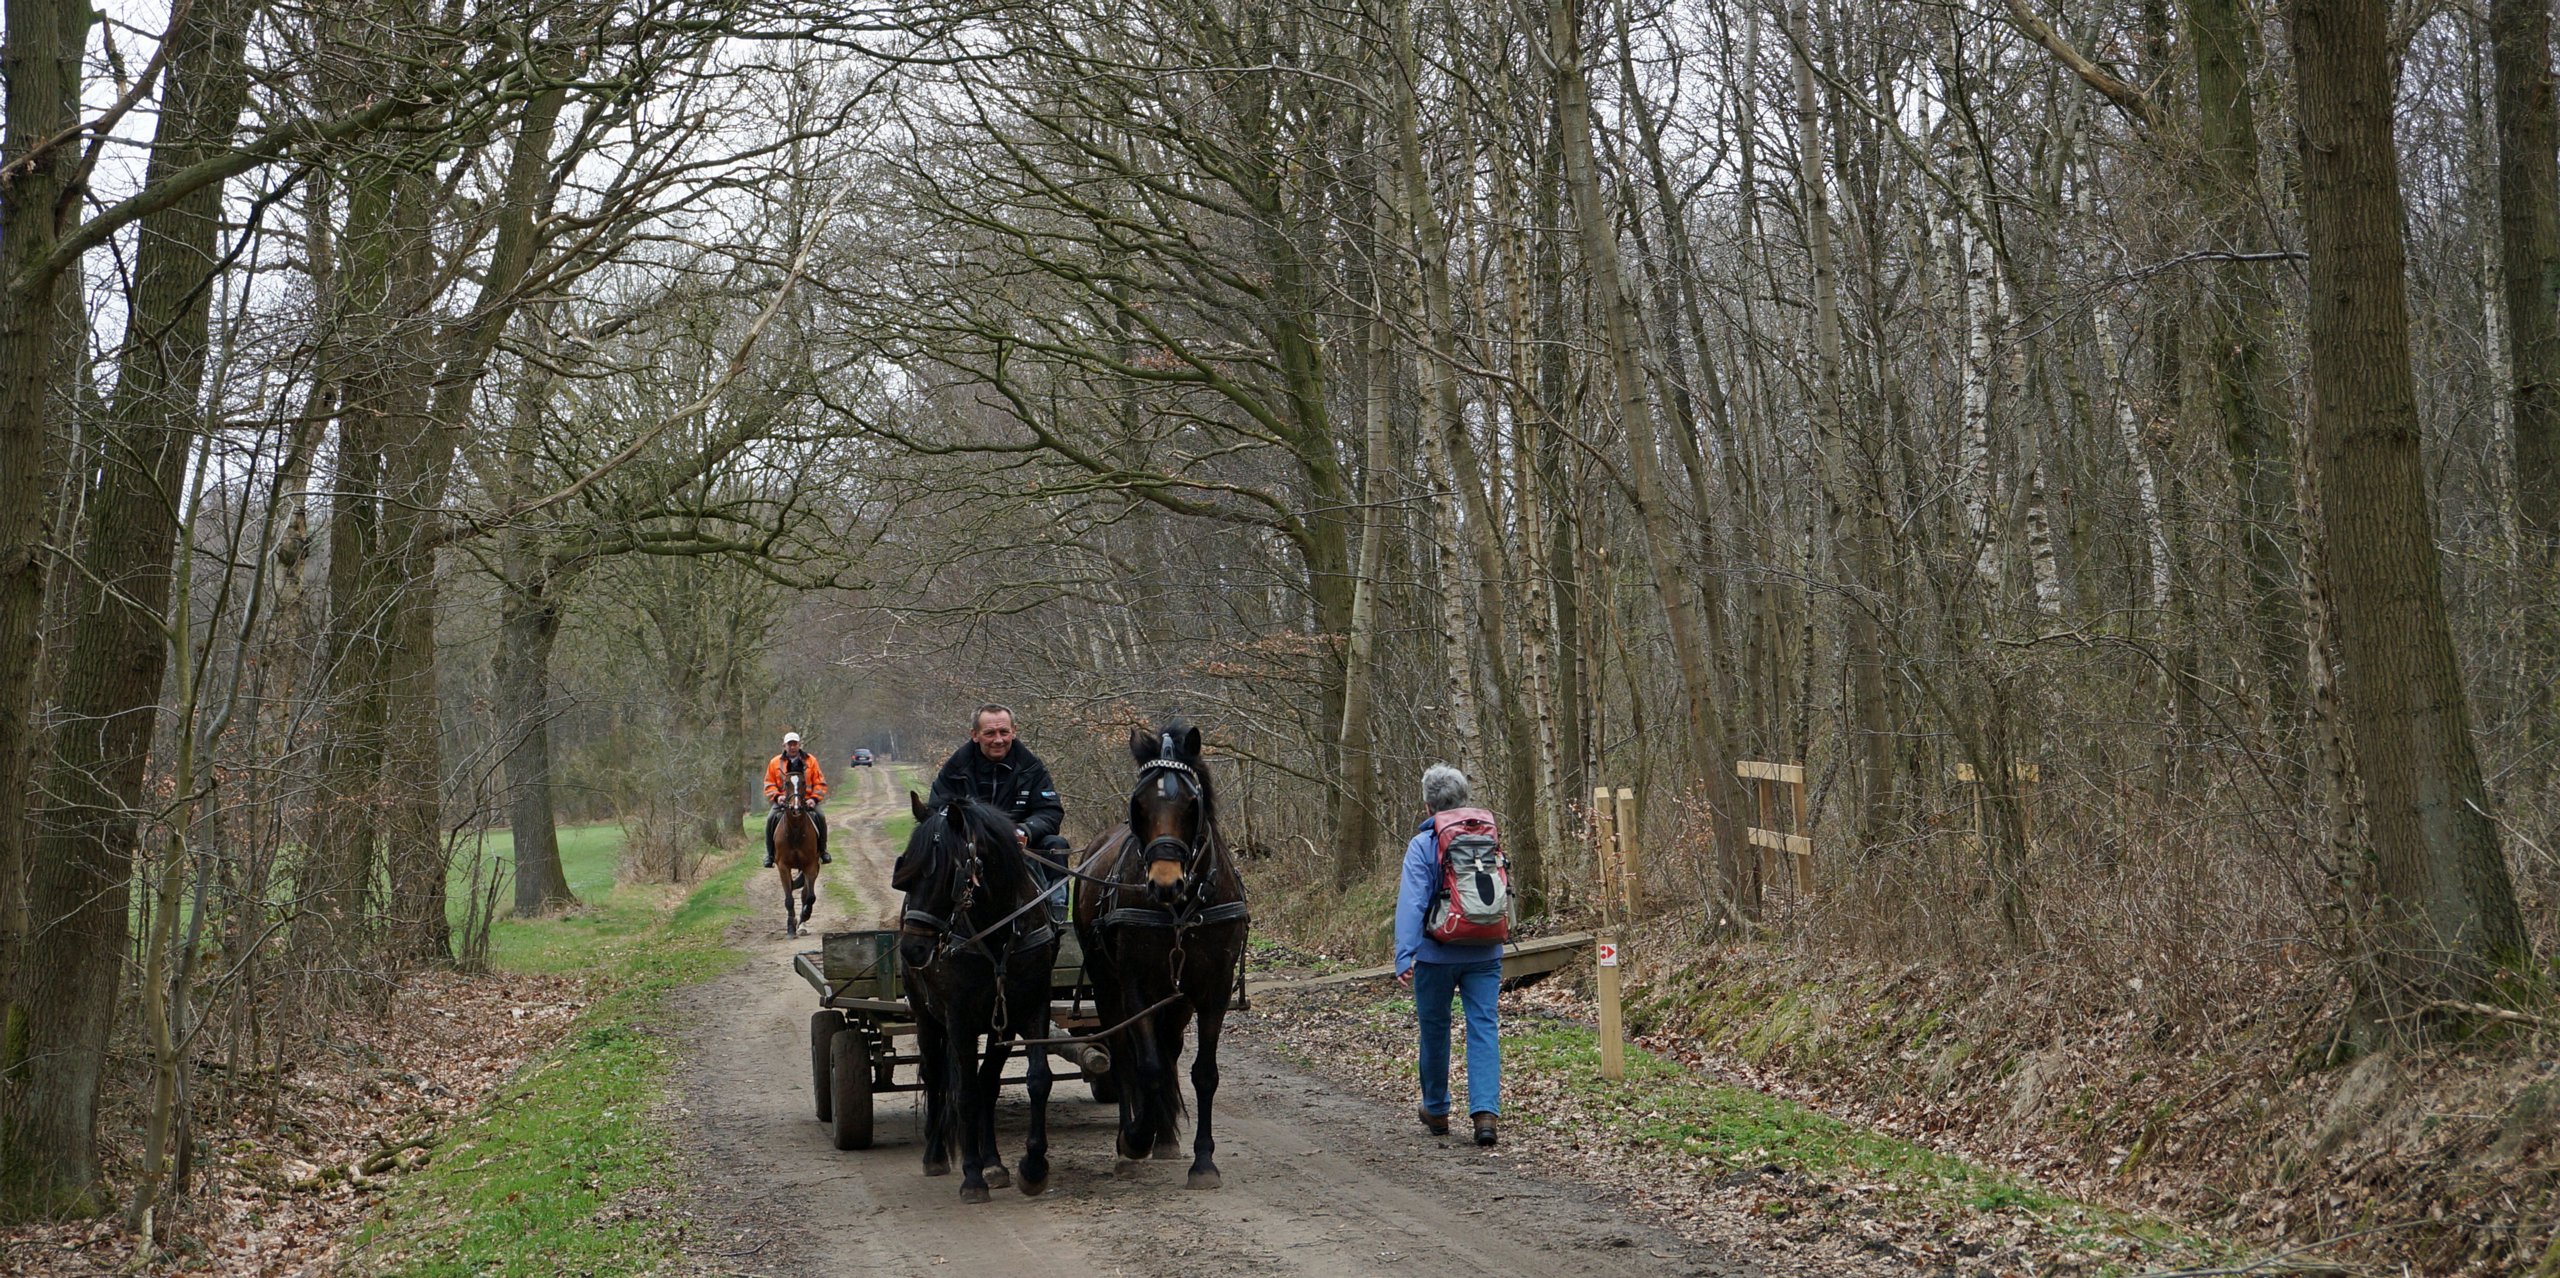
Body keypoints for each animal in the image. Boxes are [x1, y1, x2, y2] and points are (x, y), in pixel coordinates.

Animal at [773, 772, 822, 938]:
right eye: (786, 783)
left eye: (803, 783)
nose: (796, 808)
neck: (794, 830)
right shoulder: (783, 867)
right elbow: (789, 899)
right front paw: (790, 927)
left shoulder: (810, 865)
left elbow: (810, 896)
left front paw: (803, 917)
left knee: (805, 894)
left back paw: (802, 925)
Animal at [893, 791, 1061, 1202]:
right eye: (905, 874)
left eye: (942, 873)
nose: (913, 950)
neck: (997, 931)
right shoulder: (959, 1019)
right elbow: (965, 1093)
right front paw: (971, 1177)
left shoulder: (1028, 1009)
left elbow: (1035, 1079)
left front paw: (1032, 1168)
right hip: (926, 1017)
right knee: (936, 1076)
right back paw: (935, 1154)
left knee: (987, 1083)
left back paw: (993, 1162)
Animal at [1069, 720, 1249, 1190]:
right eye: (1139, 803)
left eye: (1191, 803)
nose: (1164, 883)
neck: (1180, 910)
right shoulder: (1135, 985)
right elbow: (1145, 1066)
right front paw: (1135, 1138)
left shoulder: (1213, 988)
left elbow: (1203, 1073)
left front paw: (1203, 1161)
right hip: (1108, 987)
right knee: (1122, 1054)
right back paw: (1134, 1136)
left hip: (1177, 997)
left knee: (1168, 1049)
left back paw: (1166, 1137)